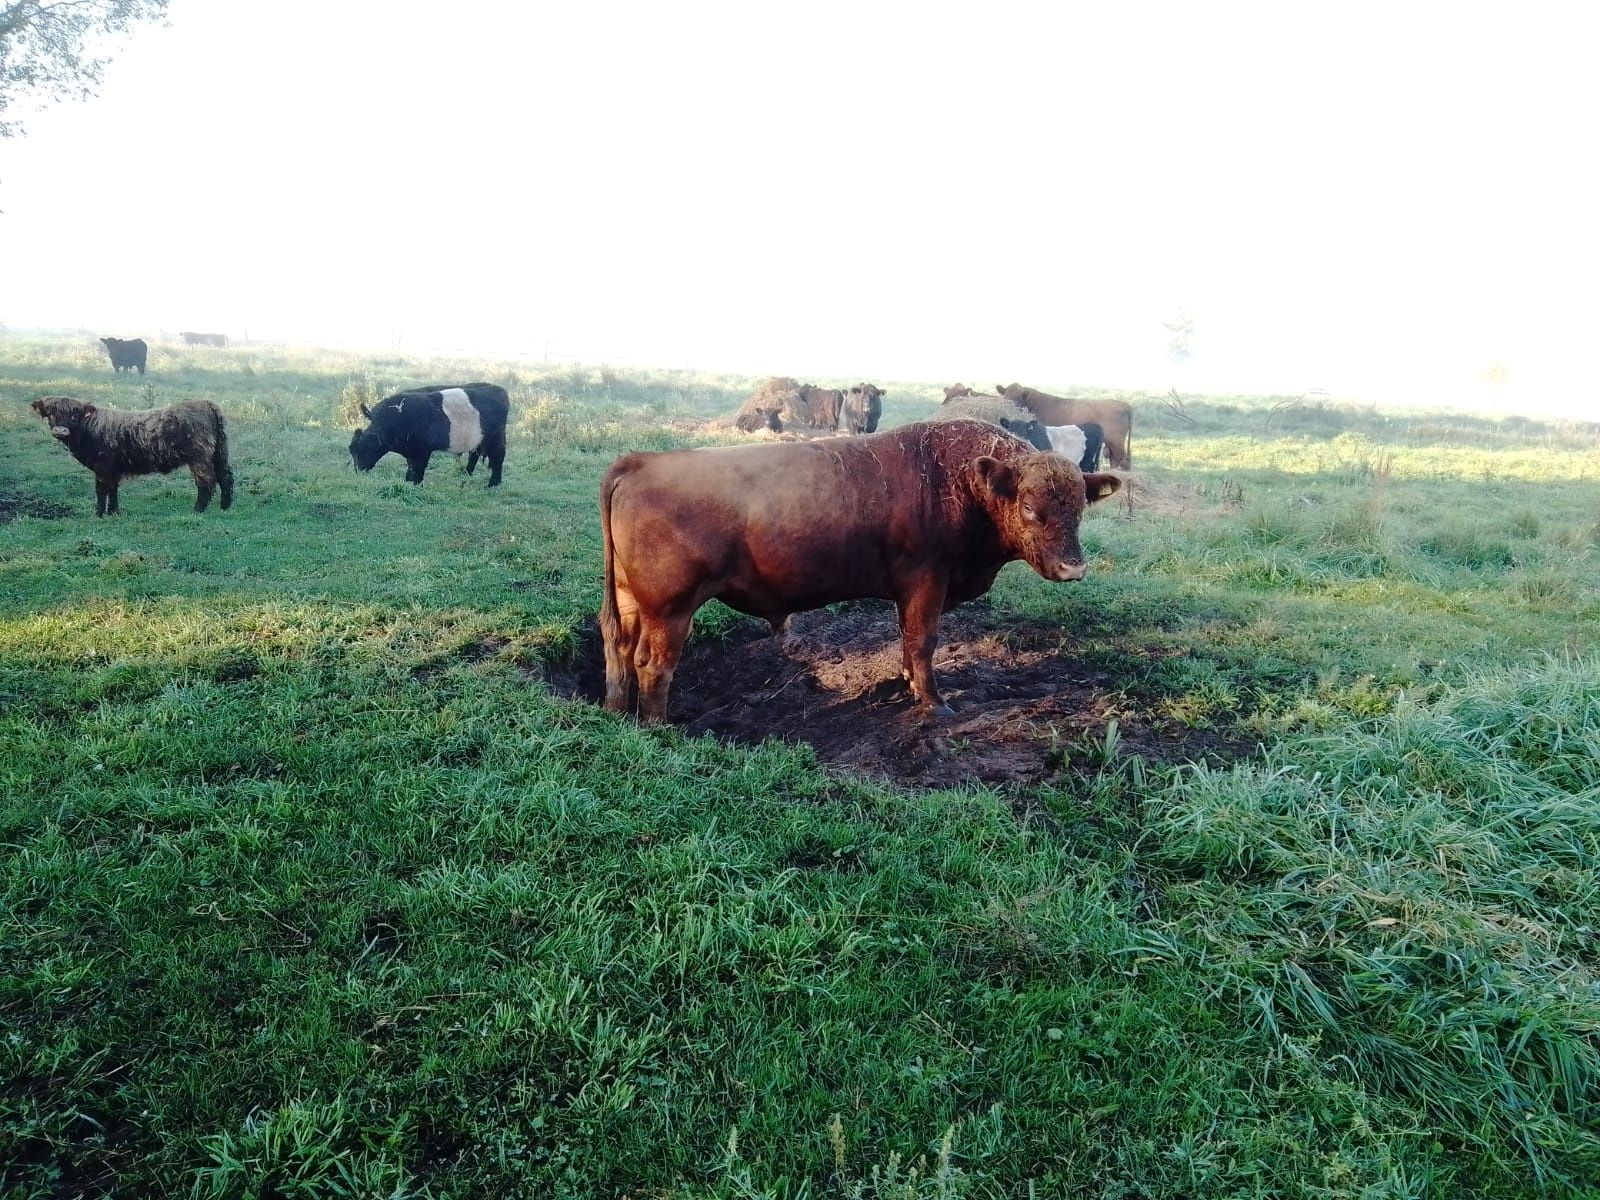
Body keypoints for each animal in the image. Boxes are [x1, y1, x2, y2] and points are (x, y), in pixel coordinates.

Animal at [30, 396, 233, 515]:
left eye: (74, 415)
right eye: (51, 414)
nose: (60, 430)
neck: (88, 429)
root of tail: (206, 403)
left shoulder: (102, 467)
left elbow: (101, 490)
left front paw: (98, 514)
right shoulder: (113, 470)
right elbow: (113, 489)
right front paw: (113, 512)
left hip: (199, 457)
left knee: (207, 481)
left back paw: (197, 510)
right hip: (219, 452)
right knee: (226, 476)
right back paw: (225, 507)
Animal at [352, 380, 512, 483]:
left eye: (364, 449)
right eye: (352, 450)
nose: (358, 471)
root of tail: (498, 389)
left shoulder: (423, 450)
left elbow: (418, 469)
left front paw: (415, 485)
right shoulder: (412, 450)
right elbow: (411, 467)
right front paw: (407, 483)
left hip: (495, 437)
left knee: (498, 457)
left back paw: (493, 484)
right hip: (478, 438)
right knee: (474, 455)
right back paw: (465, 475)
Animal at [595, 422, 1120, 723]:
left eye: (1079, 507)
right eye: (1031, 507)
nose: (1073, 568)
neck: (957, 479)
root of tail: (640, 462)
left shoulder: (909, 592)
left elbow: (908, 639)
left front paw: (909, 684)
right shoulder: (927, 581)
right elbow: (924, 641)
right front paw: (935, 704)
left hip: (630, 601)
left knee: (617, 648)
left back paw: (617, 711)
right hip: (671, 609)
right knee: (653, 664)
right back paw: (659, 727)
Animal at [992, 382, 1132, 467]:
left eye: (1018, 398)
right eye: (1005, 395)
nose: (1006, 405)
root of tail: (1123, 404)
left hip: (1116, 442)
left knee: (1122, 461)